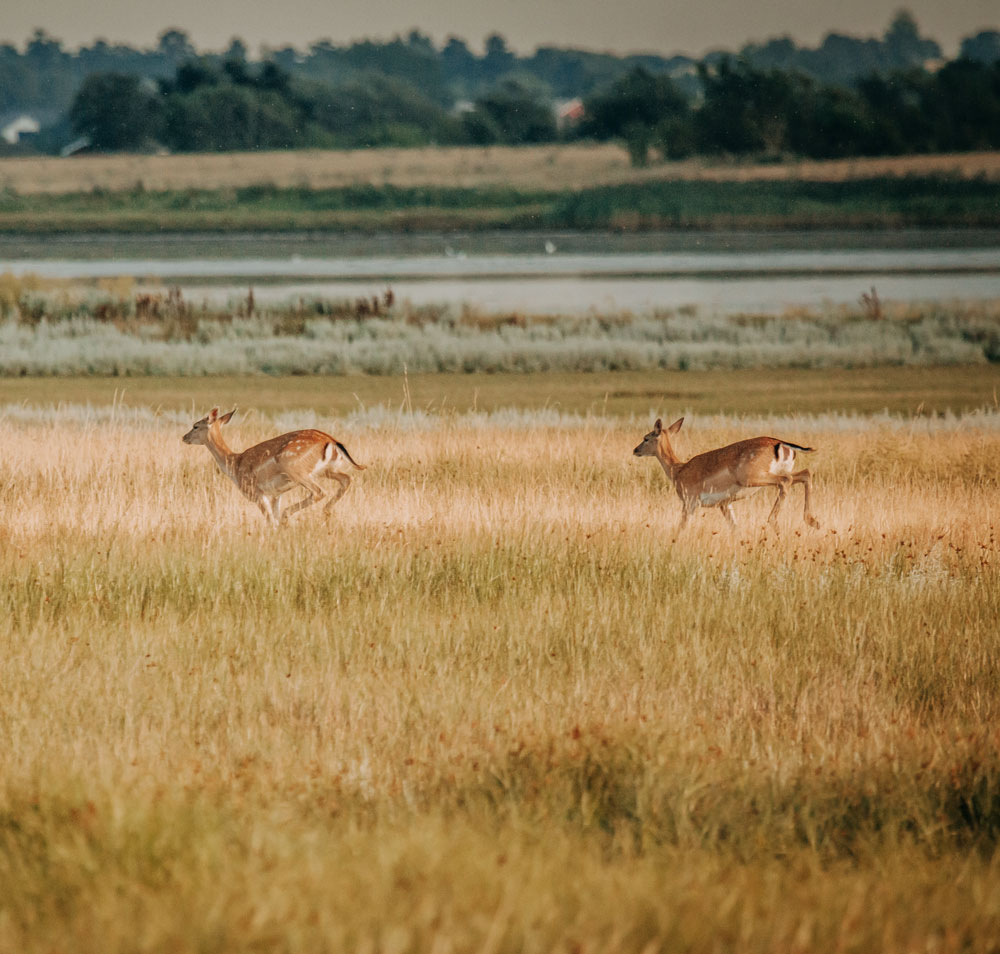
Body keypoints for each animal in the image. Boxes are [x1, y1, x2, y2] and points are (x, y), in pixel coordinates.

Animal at [182, 408, 366, 528]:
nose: (184, 437)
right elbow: (273, 519)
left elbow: (270, 521)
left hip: (295, 468)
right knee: (347, 478)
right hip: (328, 469)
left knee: (319, 491)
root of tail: (332, 441)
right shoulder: (276, 494)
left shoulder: (256, 492)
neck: (234, 464)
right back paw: (327, 511)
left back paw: (288, 515)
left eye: (195, 426)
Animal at [632, 416, 820, 532]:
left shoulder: (689, 503)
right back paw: (813, 521)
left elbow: (681, 528)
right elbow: (735, 528)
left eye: (646, 438)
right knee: (806, 473)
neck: (678, 470)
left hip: (754, 477)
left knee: (786, 480)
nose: (635, 450)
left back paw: (773, 522)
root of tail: (780, 443)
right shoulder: (725, 504)